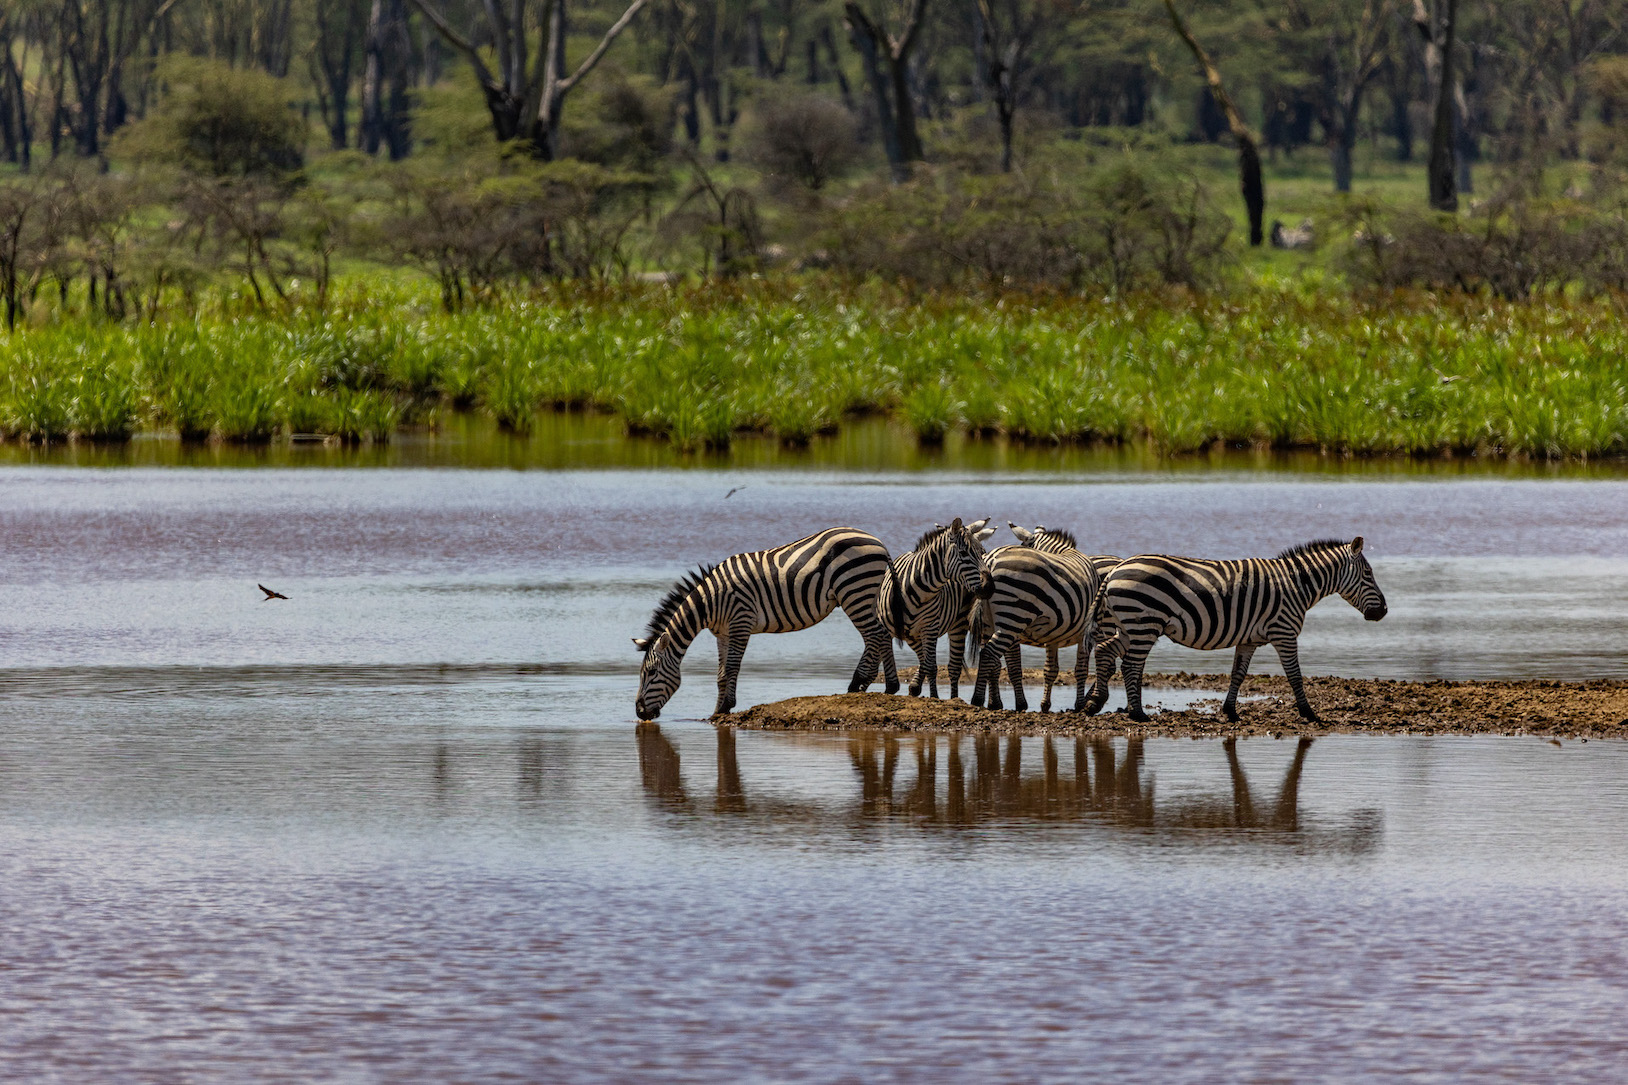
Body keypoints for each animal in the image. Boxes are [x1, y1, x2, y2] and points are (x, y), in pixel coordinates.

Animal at [631, 524, 905, 716]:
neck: (711, 600)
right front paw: (716, 710)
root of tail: (879, 542)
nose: (640, 713)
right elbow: (720, 674)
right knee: (882, 634)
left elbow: (732, 667)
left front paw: (726, 706)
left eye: (651, 673)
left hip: (855, 590)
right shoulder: (722, 632)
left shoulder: (740, 622)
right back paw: (889, 686)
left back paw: (858, 683)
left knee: (874, 635)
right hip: (867, 593)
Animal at [885, 521, 996, 697]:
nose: (989, 587)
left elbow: (931, 666)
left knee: (953, 667)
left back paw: (954, 698)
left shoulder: (930, 627)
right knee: (923, 657)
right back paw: (915, 686)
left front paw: (934, 697)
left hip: (958, 623)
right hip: (914, 634)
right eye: (963, 553)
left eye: (983, 553)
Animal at [963, 524, 1107, 710]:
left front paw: (1045, 705)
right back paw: (978, 699)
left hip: (990, 624)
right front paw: (1080, 705)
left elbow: (1050, 670)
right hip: (1013, 617)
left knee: (991, 661)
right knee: (988, 655)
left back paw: (992, 702)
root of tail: (991, 560)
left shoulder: (1054, 634)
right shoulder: (1084, 632)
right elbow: (1081, 670)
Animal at [1087, 537, 1393, 723]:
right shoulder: (1285, 633)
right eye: (1368, 574)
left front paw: (1230, 711)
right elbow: (1295, 675)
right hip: (1144, 623)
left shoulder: (1248, 639)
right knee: (1130, 666)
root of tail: (1115, 569)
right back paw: (1137, 714)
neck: (1297, 584)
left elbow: (1238, 674)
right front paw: (1308, 713)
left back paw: (1096, 703)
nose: (1384, 612)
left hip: (1129, 625)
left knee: (1104, 651)